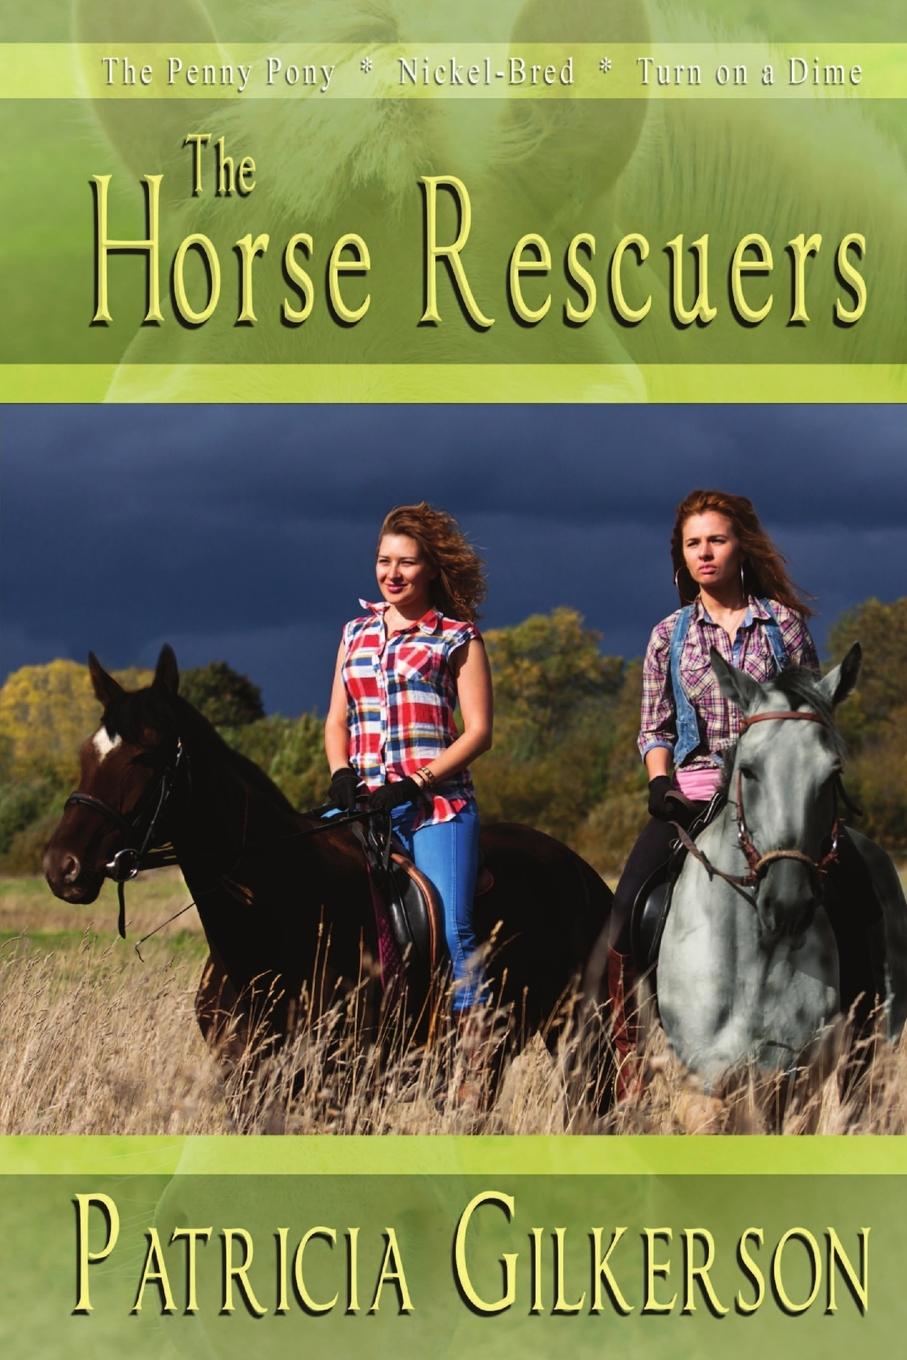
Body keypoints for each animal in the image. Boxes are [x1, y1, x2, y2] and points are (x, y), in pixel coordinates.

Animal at [42, 645, 612, 1102]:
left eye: (145, 756)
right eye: (86, 753)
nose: (60, 866)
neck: (271, 922)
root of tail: (584, 874)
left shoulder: (340, 1086)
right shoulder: (247, 1082)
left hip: (576, 1039)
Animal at [651, 644, 907, 1092]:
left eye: (832, 774)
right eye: (749, 771)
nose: (788, 906)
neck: (754, 961)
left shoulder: (794, 1080)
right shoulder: (704, 1082)